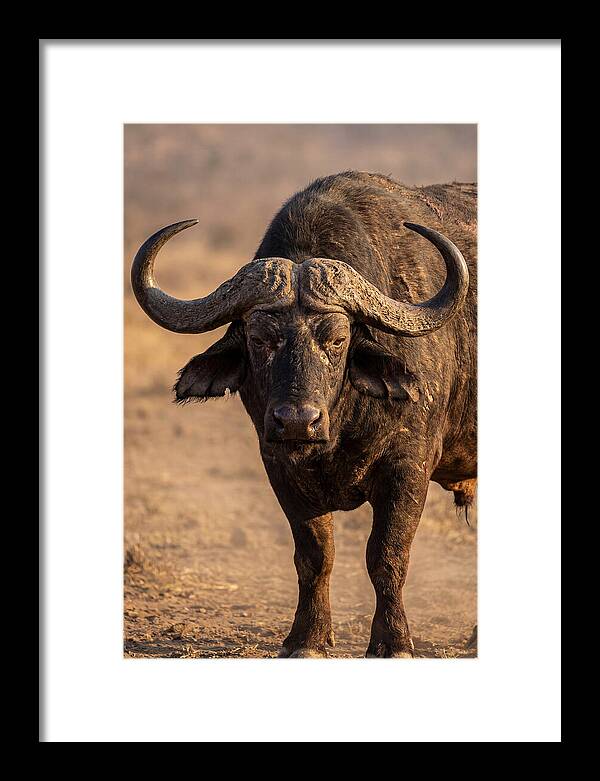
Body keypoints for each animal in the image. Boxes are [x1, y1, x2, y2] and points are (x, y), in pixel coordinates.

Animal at [131, 171, 477, 658]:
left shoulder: (407, 468)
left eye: (337, 339)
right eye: (259, 339)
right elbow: (315, 556)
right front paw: (307, 638)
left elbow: (387, 555)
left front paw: (393, 642)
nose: (296, 420)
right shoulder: (279, 466)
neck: (339, 428)